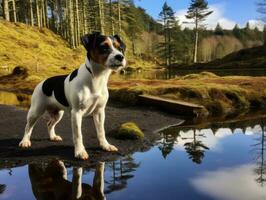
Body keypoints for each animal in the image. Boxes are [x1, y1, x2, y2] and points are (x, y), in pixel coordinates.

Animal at [18, 32, 127, 160]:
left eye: (120, 48)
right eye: (104, 47)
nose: (120, 56)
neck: (97, 78)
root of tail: (42, 82)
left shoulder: (99, 112)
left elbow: (101, 131)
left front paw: (105, 145)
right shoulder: (76, 113)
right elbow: (78, 135)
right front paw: (80, 151)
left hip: (58, 114)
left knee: (49, 124)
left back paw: (53, 137)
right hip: (35, 111)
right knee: (28, 127)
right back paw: (25, 141)